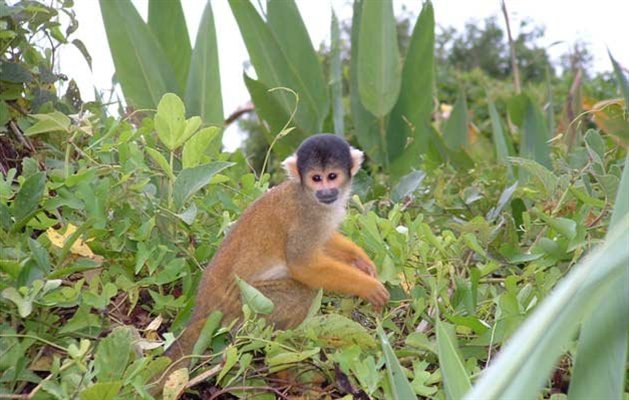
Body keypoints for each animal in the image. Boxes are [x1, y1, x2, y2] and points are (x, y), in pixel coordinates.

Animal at [167, 134, 388, 362]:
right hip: (245, 301)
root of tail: (203, 307)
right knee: (301, 294)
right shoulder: (307, 217)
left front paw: (360, 259)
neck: (306, 194)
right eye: (316, 178)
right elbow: (303, 265)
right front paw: (367, 286)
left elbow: (324, 242)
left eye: (332, 176)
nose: (326, 191)